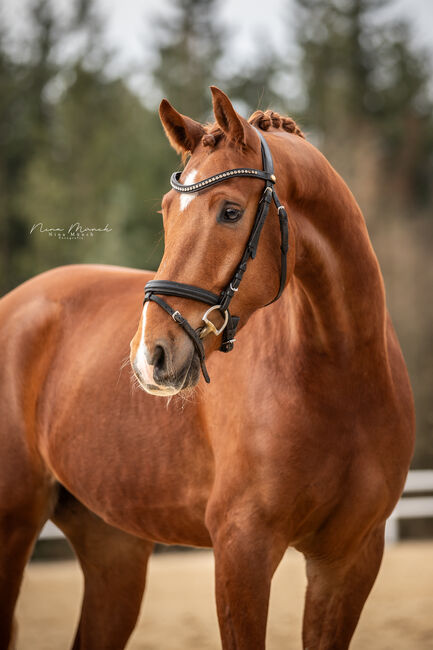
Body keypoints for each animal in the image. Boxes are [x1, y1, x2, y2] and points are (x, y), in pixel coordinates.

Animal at [0, 87, 412, 648]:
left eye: (231, 212)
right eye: (167, 210)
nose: (150, 357)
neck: (342, 379)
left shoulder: (350, 559)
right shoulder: (242, 549)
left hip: (113, 544)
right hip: (14, 526)